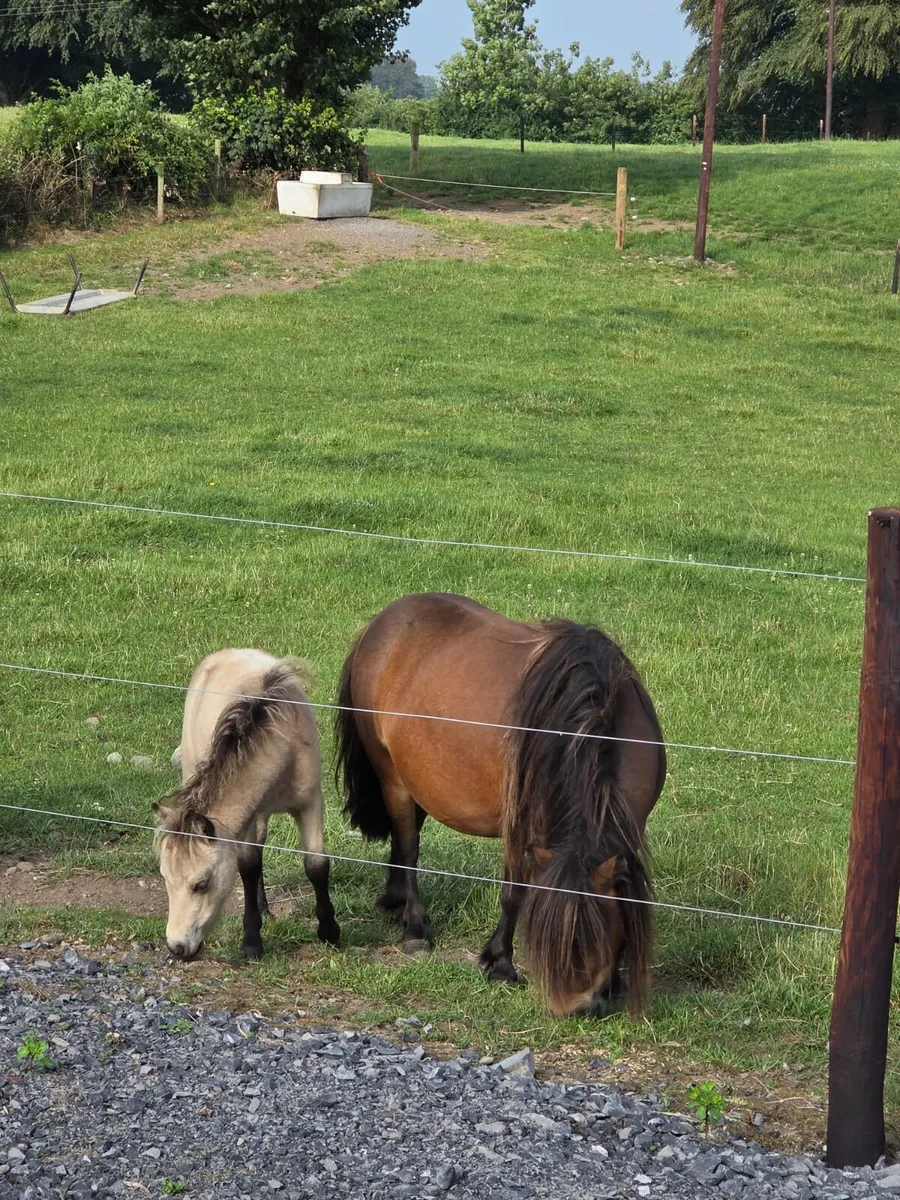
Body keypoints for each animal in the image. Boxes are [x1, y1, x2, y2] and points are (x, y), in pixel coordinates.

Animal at [154, 649, 340, 961]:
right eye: (165, 879)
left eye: (201, 884)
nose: (177, 947)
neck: (281, 740)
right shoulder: (248, 817)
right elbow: (249, 867)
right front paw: (252, 940)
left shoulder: (310, 804)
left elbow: (316, 865)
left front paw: (329, 932)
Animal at [335, 593, 665, 1017]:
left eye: (601, 932)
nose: (576, 1008)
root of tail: (382, 621)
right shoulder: (521, 825)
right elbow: (514, 893)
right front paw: (500, 963)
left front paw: (617, 981)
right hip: (392, 778)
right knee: (408, 847)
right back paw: (415, 930)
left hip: (417, 778)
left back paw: (394, 903)